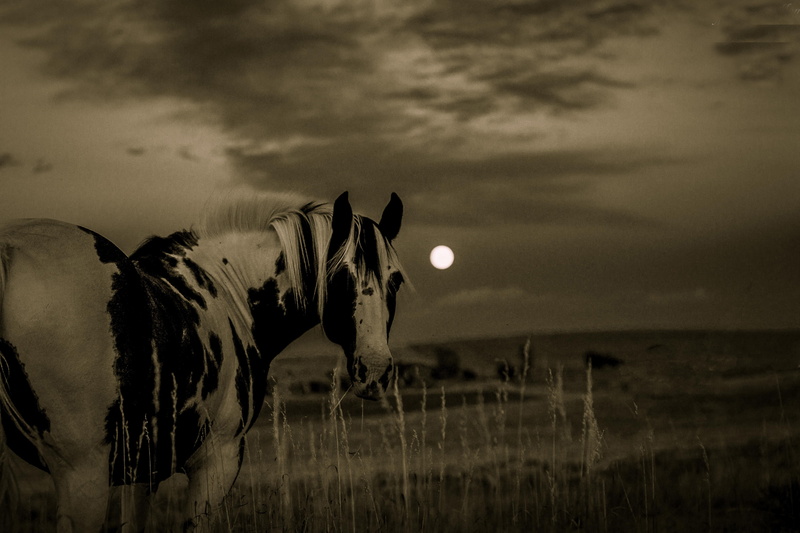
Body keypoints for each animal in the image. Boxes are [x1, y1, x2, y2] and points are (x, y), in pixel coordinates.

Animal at [0, 190, 406, 532]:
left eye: (396, 280)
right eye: (340, 276)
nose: (375, 371)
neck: (230, 293)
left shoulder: (141, 469)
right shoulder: (217, 459)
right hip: (83, 475)